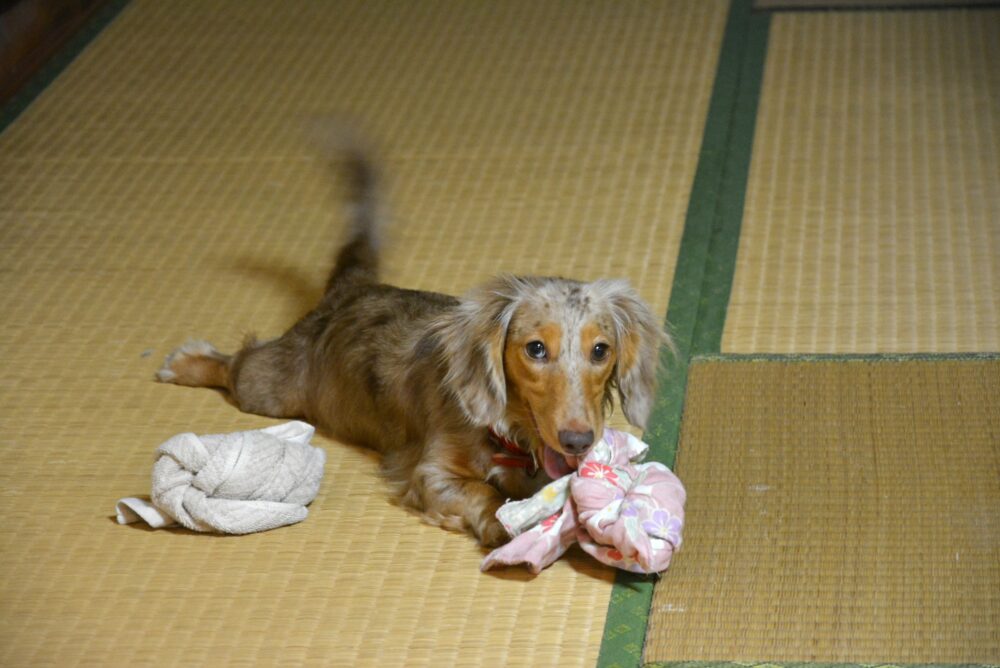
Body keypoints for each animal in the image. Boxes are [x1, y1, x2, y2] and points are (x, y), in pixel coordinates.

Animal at [158, 138, 672, 544]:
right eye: (535, 349)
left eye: (600, 350)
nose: (578, 441)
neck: (509, 432)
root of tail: (352, 290)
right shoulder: (430, 473)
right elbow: (480, 491)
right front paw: (500, 522)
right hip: (270, 389)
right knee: (235, 365)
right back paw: (187, 364)